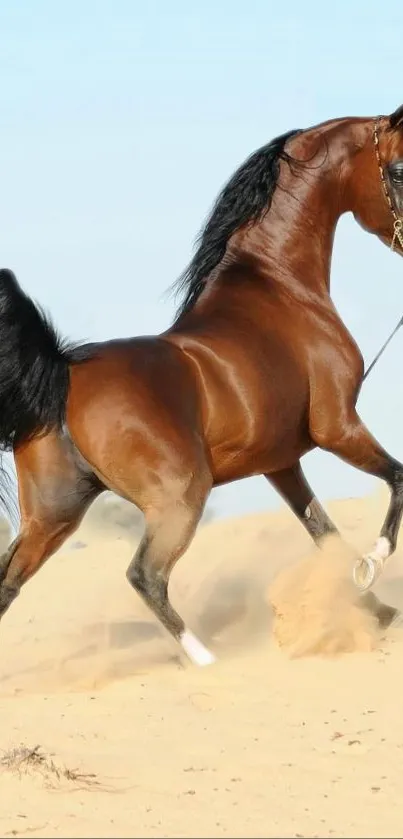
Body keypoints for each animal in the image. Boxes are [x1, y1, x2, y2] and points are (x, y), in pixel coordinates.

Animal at [0, 106, 403, 668]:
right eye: (398, 169)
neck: (279, 286)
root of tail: (60, 375)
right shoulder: (338, 427)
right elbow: (397, 480)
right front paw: (372, 566)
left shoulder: (281, 463)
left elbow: (323, 531)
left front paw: (375, 608)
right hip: (180, 498)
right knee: (145, 576)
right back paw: (207, 662)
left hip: (52, 516)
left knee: (8, 584)